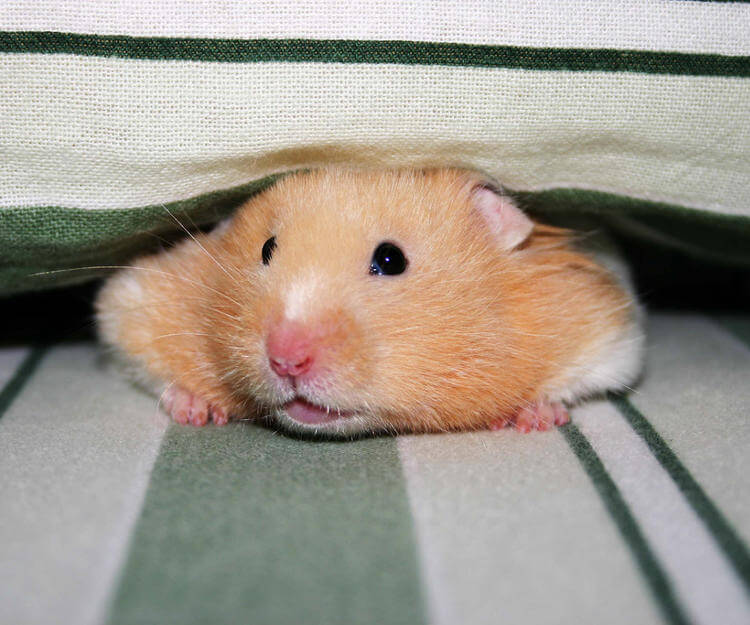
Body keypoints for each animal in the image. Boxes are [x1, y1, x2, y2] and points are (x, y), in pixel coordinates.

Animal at [95, 168, 644, 436]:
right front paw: (195, 409)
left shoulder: (607, 326)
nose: (286, 358)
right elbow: (140, 355)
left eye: (390, 259)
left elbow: (589, 375)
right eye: (267, 249)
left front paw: (531, 418)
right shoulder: (133, 305)